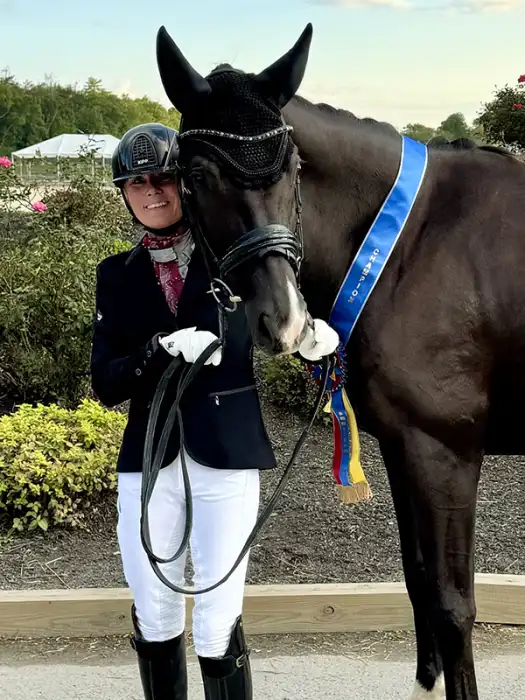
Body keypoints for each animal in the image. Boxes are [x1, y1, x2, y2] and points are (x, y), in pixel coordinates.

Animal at [154, 23, 525, 700]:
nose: (283, 318)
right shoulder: (406, 447)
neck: (412, 240)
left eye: (294, 167)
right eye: (196, 173)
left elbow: (452, 604)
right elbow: (417, 580)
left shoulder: (446, 453)